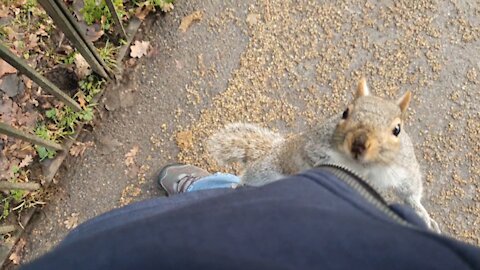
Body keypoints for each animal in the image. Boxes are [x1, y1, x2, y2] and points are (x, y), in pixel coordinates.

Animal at [206, 78, 438, 232]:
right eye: (345, 112)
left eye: (397, 129)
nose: (359, 143)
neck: (362, 167)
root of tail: (277, 148)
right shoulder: (313, 148)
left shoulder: (402, 169)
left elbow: (409, 192)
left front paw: (423, 216)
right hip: (266, 169)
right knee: (251, 176)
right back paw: (238, 185)